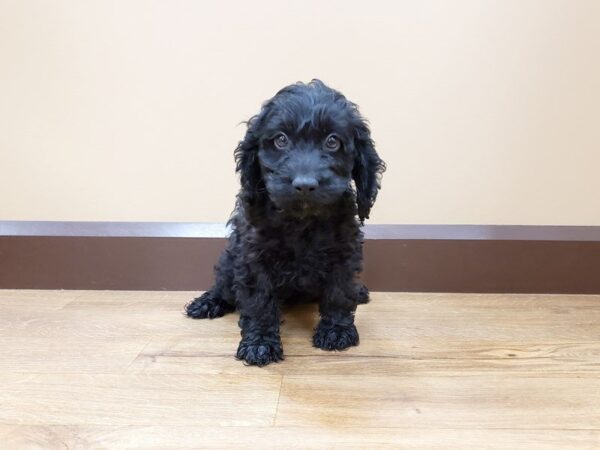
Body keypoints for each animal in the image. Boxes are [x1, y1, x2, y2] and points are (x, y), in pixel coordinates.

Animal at [185, 79, 386, 366]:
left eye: (332, 141)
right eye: (281, 139)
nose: (304, 185)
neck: (302, 221)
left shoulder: (344, 251)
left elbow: (339, 291)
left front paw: (336, 331)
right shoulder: (254, 256)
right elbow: (259, 300)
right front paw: (260, 343)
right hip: (230, 258)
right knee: (223, 284)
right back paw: (208, 302)